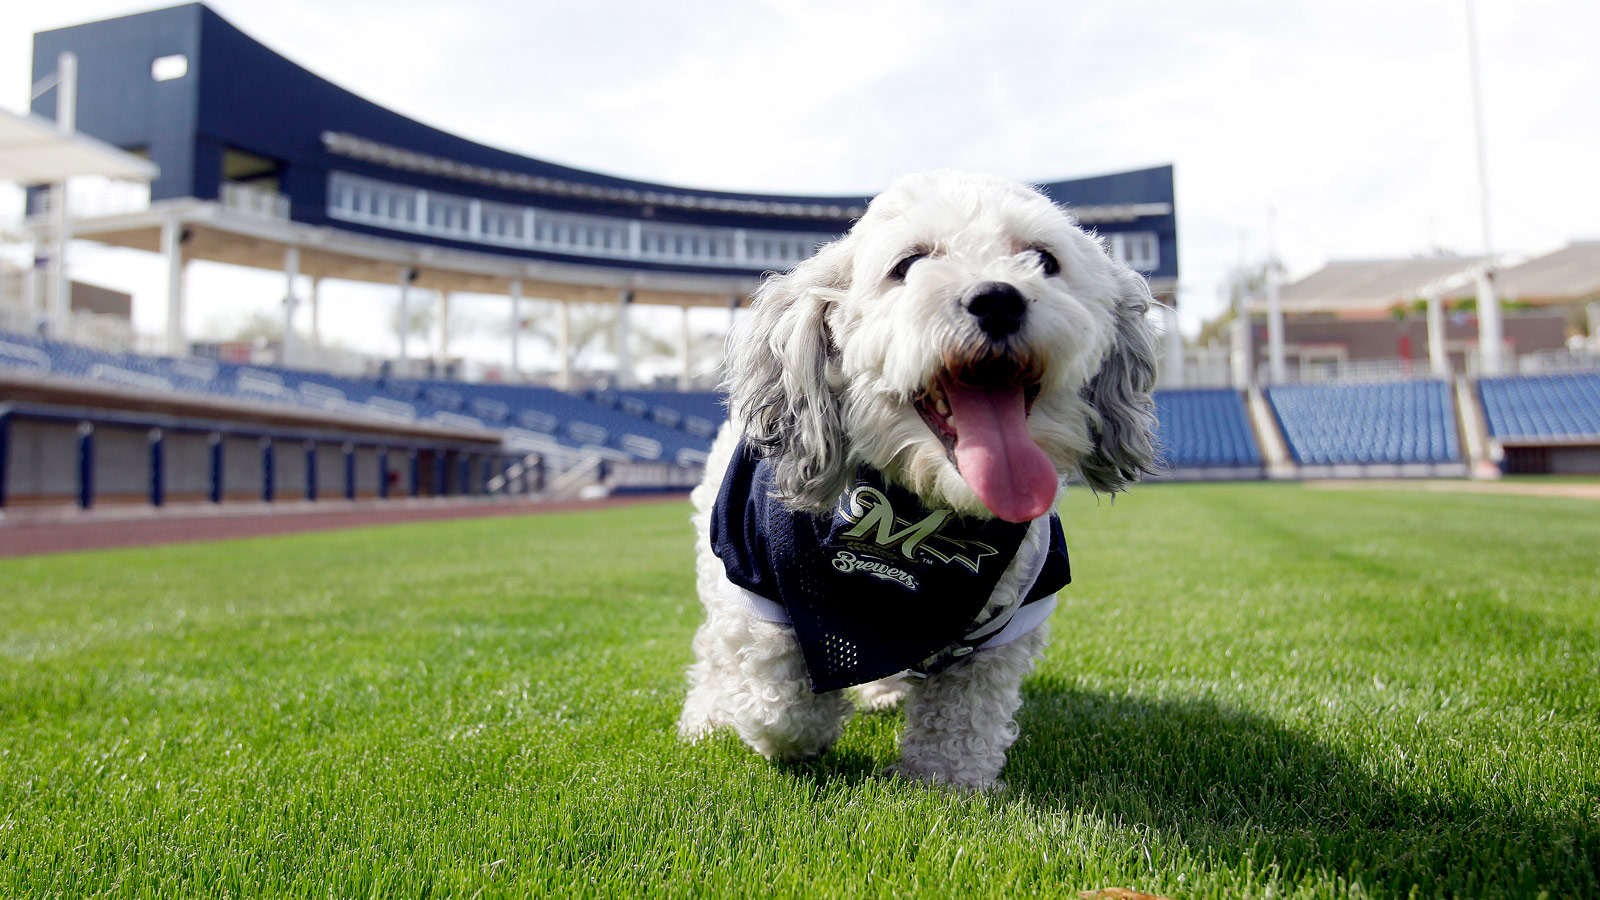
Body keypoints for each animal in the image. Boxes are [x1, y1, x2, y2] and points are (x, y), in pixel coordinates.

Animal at [678, 170, 1159, 789]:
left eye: (1043, 260)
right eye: (908, 264)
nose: (998, 297)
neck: (916, 517)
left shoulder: (1009, 615)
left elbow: (964, 715)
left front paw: (943, 781)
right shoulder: (754, 580)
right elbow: (782, 703)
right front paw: (803, 728)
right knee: (715, 653)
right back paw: (707, 717)